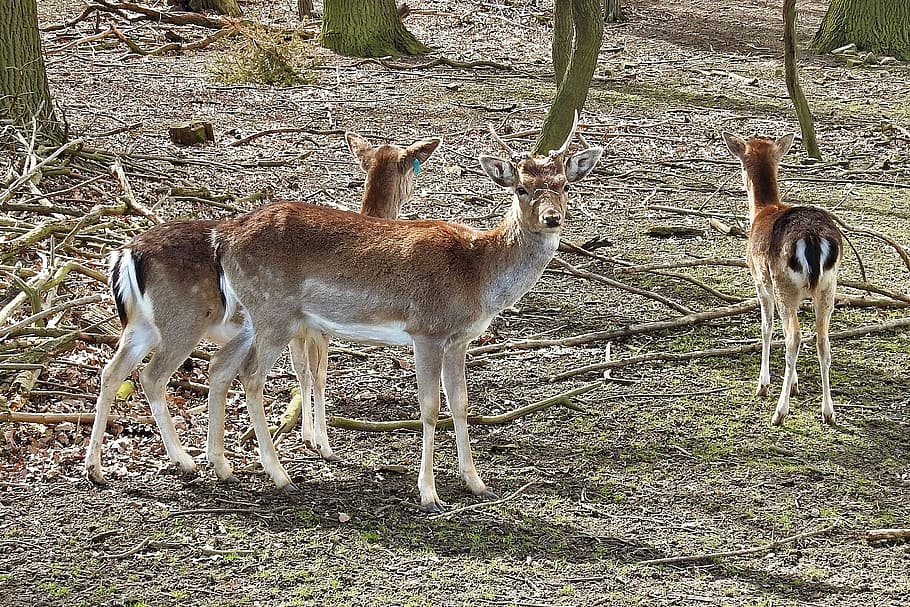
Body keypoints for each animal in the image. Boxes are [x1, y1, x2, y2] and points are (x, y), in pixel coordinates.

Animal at [84, 132, 441, 485]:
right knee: (153, 376)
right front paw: (322, 444)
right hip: (183, 322)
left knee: (113, 372)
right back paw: (187, 460)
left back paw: (97, 468)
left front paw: (307, 436)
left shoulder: (299, 331)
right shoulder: (318, 330)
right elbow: (317, 375)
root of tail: (124, 255)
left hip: (141, 325)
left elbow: (300, 373)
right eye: (412, 169)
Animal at [205, 119, 603, 512]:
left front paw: (476, 483)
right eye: (521, 188)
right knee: (250, 375)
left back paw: (221, 466)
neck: (478, 276)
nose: (551, 218)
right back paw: (279, 475)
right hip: (274, 312)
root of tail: (223, 238)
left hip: (250, 316)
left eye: (565, 185)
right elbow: (429, 407)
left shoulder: (460, 339)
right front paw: (429, 494)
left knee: (219, 365)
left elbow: (460, 404)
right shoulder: (428, 329)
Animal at [723, 132, 843, 426]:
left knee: (794, 337)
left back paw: (779, 411)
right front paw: (796, 384)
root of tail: (812, 238)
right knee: (823, 340)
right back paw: (828, 412)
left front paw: (763, 384)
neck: (763, 209)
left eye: (741, 163)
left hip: (784, 285)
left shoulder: (760, 281)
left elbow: (767, 327)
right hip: (828, 288)